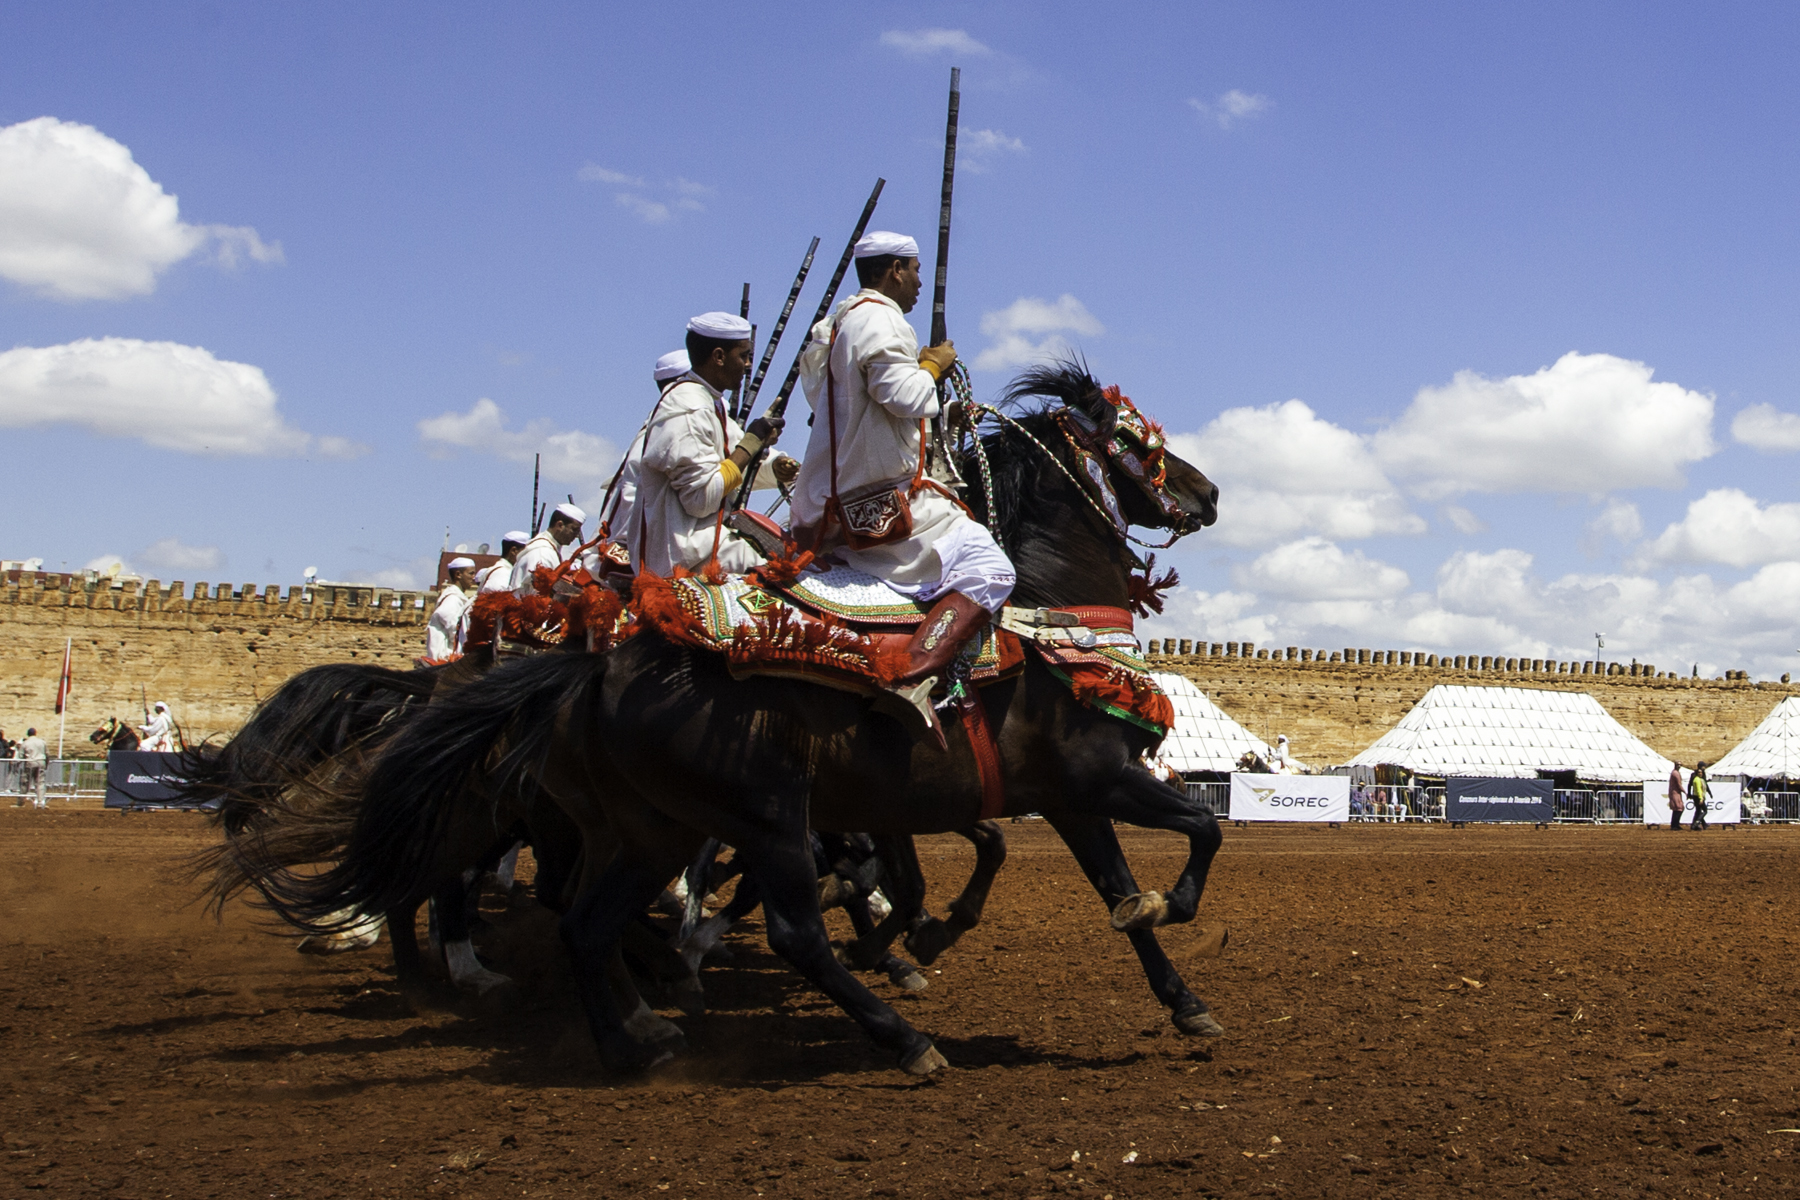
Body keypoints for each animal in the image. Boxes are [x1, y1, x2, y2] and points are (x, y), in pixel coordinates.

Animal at [261, 361, 1224, 1072]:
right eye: (1137, 439)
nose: (1209, 493)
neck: (1049, 612)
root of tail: (594, 668)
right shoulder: (1095, 777)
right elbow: (1196, 837)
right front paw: (1162, 909)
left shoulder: (1065, 795)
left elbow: (1110, 891)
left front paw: (1183, 1000)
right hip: (756, 812)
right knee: (781, 931)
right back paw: (888, 1035)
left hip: (647, 826)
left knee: (576, 917)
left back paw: (633, 1032)